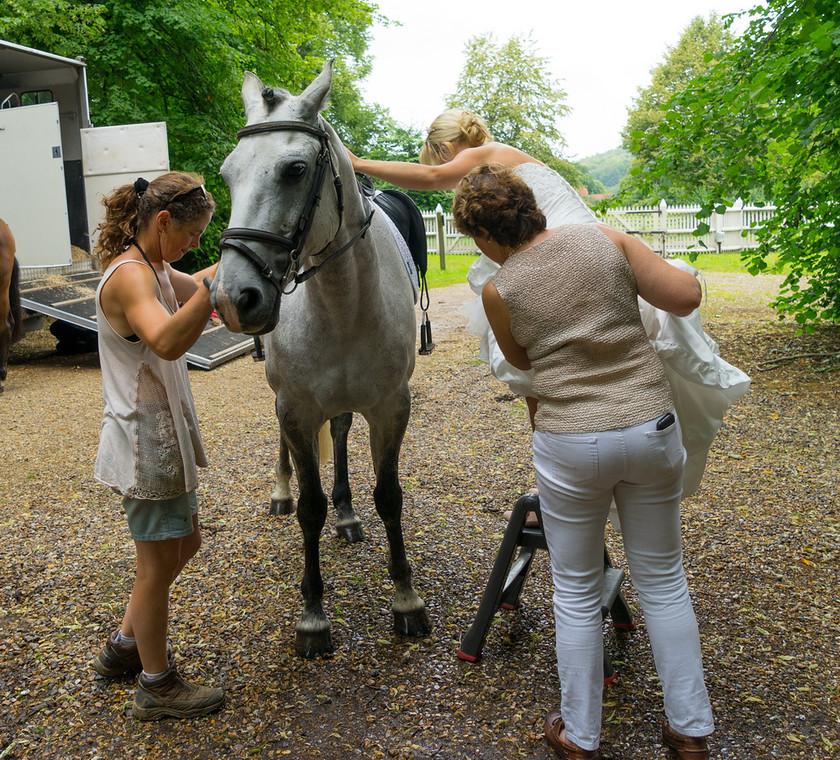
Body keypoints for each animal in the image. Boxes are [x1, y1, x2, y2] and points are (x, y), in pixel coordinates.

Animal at [210, 63, 434, 660]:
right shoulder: (295, 409)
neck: (341, 301)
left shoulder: (390, 407)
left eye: (295, 170)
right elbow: (310, 507)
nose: (233, 298)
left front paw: (405, 599)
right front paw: (313, 615)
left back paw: (347, 512)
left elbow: (389, 496)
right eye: (227, 175)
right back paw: (282, 491)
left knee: (340, 433)